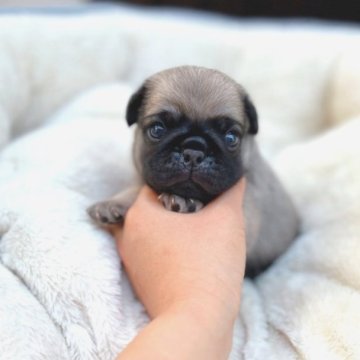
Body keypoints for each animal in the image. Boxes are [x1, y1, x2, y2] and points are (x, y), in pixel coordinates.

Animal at [88, 65, 300, 276]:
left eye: (231, 138)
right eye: (157, 130)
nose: (193, 150)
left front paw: (183, 201)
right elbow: (135, 190)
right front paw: (112, 203)